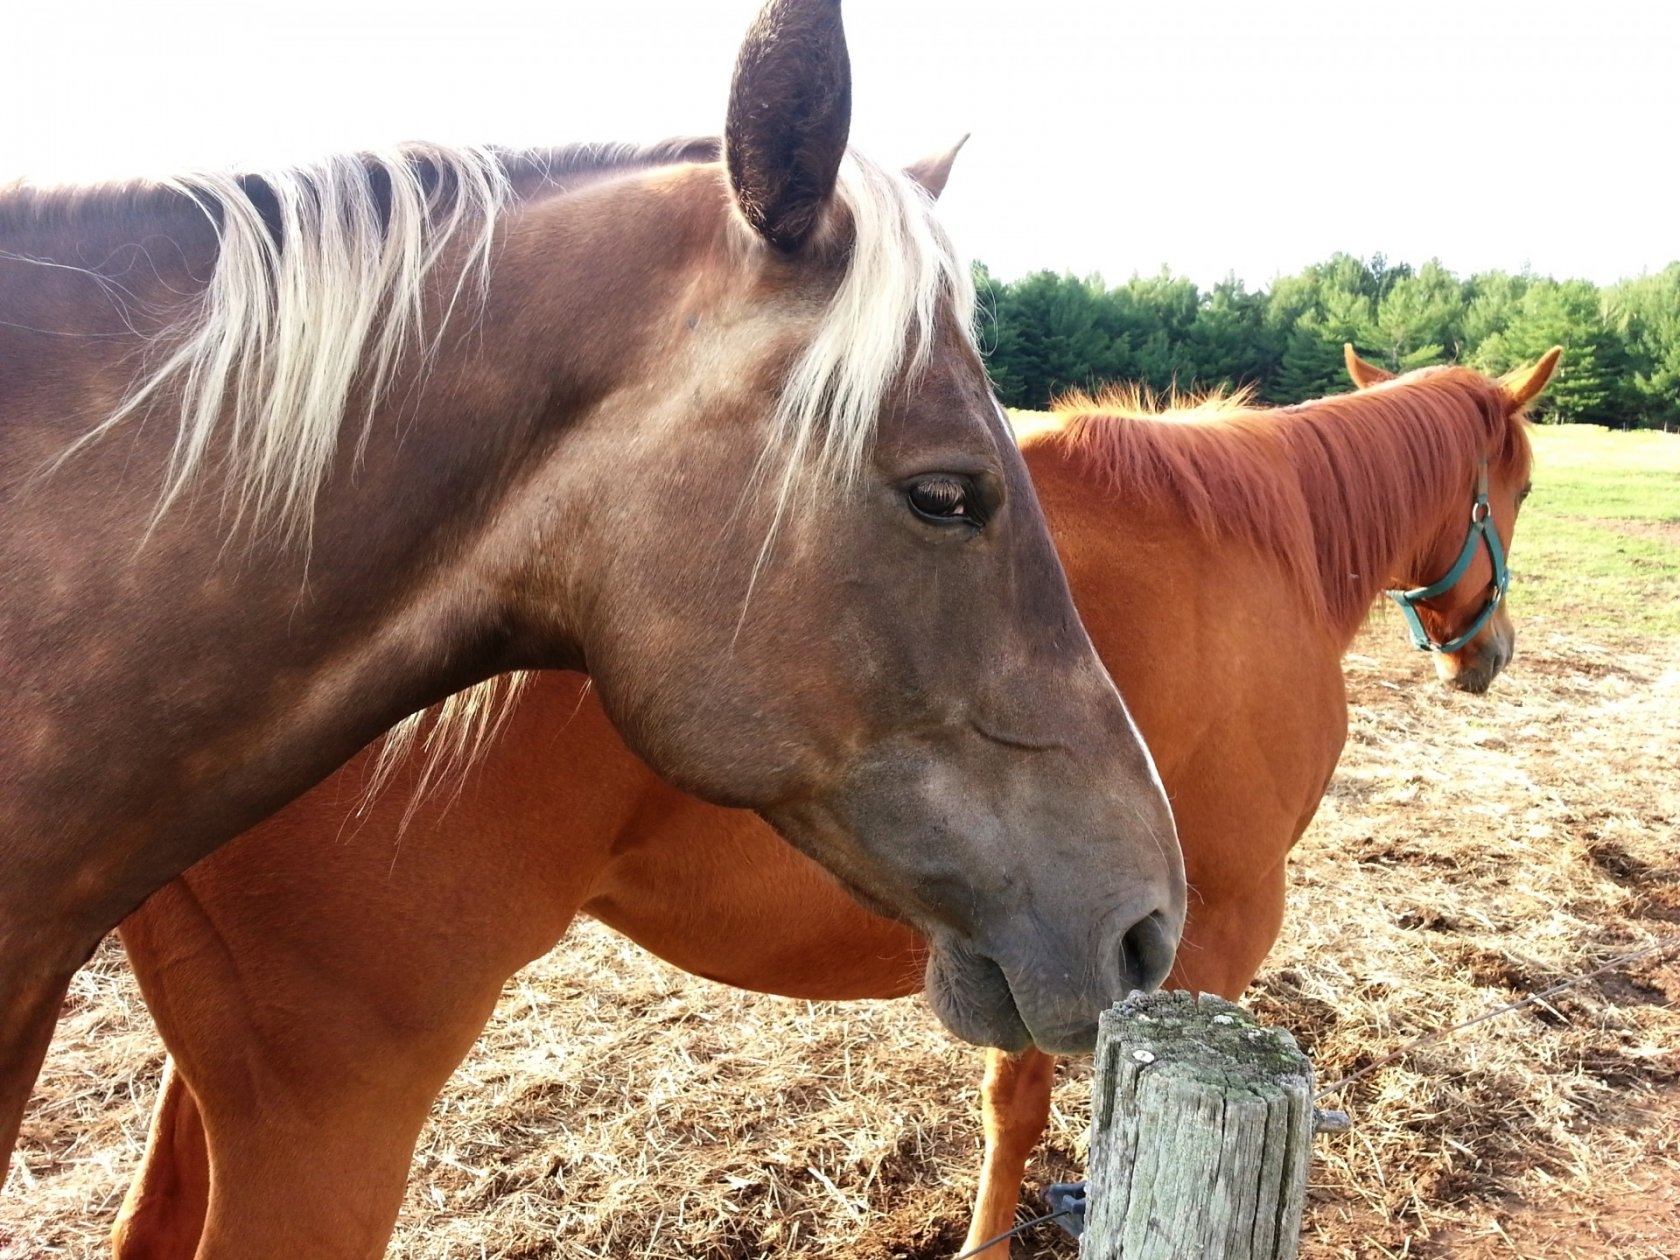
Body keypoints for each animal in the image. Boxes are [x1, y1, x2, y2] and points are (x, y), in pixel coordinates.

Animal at [108, 351, 1559, 1256]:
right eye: (1528, 486)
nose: (1487, 652)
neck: (1266, 540)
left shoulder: (1065, 950)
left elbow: (1015, 1102)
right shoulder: (1208, 943)